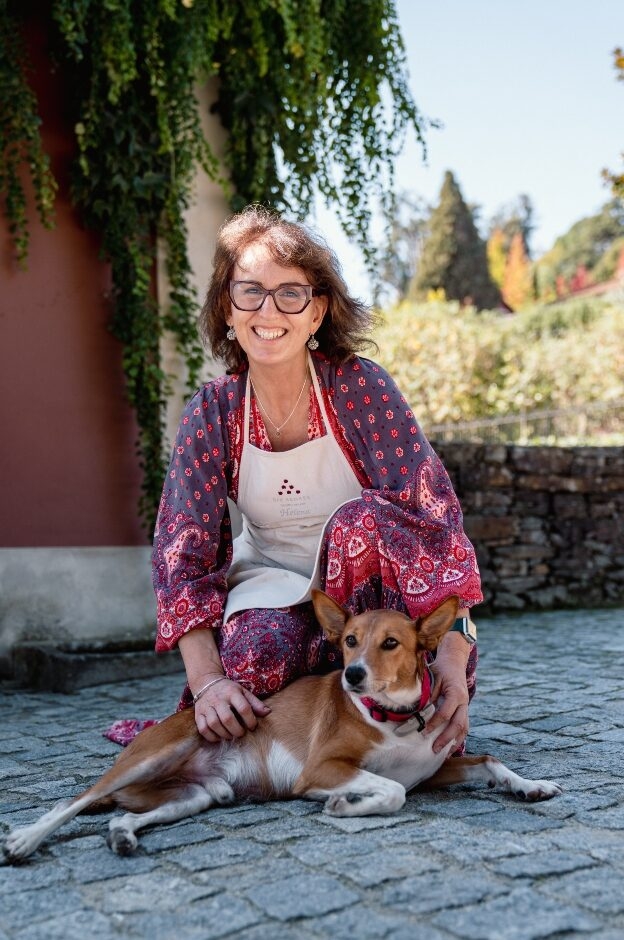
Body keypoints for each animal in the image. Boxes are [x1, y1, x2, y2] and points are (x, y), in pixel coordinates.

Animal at [3, 591, 562, 861]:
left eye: (391, 643)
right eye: (350, 640)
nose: (352, 675)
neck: (395, 718)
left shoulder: (434, 769)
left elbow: (490, 761)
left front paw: (531, 785)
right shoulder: (320, 769)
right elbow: (391, 791)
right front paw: (346, 805)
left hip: (198, 795)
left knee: (121, 818)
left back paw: (122, 838)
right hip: (153, 755)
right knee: (71, 802)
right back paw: (25, 840)